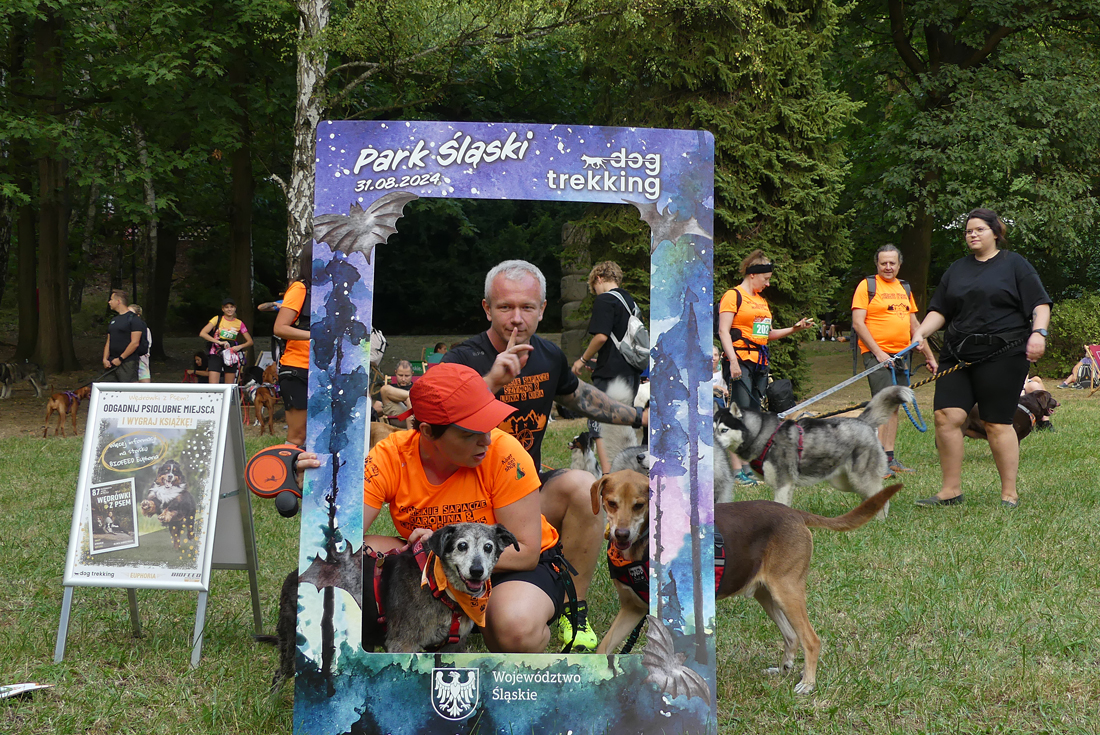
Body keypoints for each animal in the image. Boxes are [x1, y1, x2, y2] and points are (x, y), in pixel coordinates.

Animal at [259, 523, 517, 693]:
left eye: (488, 547)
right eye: (462, 546)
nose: (477, 571)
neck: (439, 586)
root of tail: (295, 576)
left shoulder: (452, 647)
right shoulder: (403, 644)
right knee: (281, 673)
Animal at [590, 468, 902, 693]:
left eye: (639, 505)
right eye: (611, 503)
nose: (621, 535)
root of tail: (794, 513)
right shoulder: (632, 609)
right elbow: (603, 649)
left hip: (787, 591)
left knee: (810, 640)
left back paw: (808, 683)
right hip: (767, 594)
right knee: (791, 637)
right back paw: (784, 669)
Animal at [715, 385, 913, 519]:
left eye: (724, 430)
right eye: (713, 428)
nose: (713, 442)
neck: (763, 434)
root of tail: (863, 421)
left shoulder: (784, 482)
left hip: (861, 477)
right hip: (844, 481)